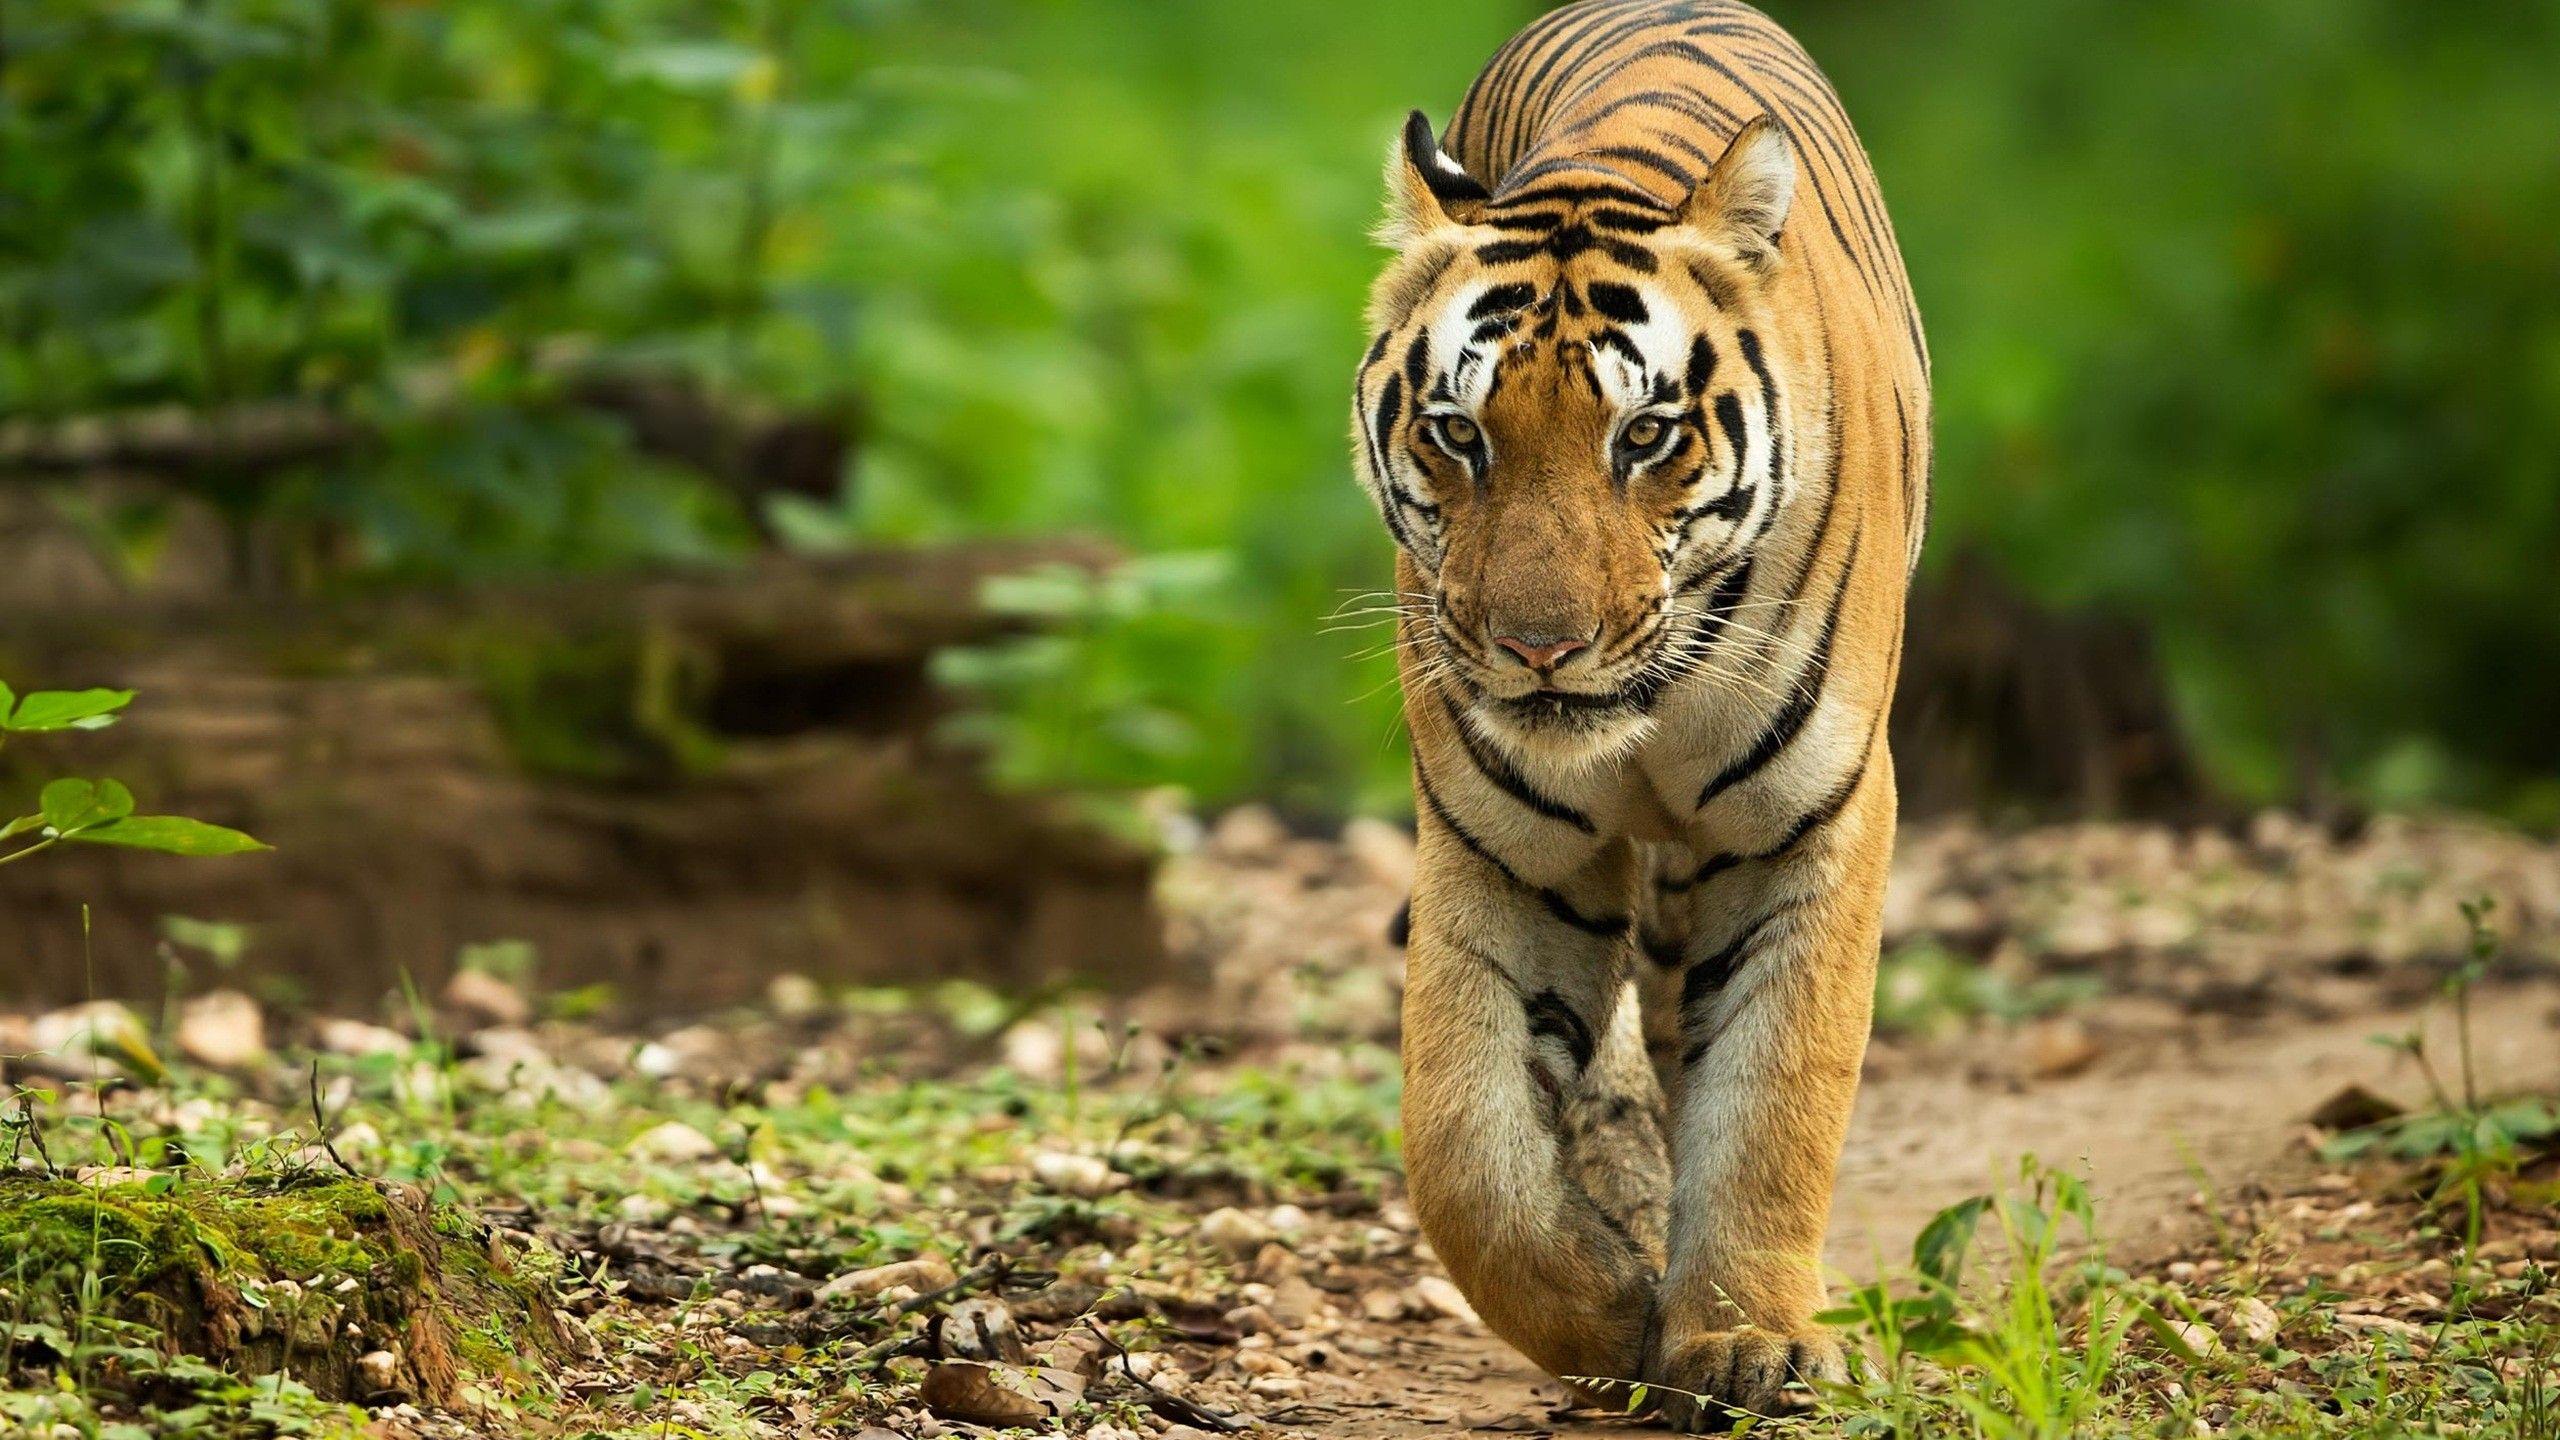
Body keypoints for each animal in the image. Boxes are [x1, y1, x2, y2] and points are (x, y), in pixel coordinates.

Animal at [1349, 0, 1928, 1426]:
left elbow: (1775, 1095)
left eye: (1645, 436)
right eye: (1458, 433)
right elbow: (1463, 1148)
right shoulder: (1504, 847)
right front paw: (1611, 1315)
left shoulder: (1810, 823)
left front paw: (1742, 1342)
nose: (1536, 649)